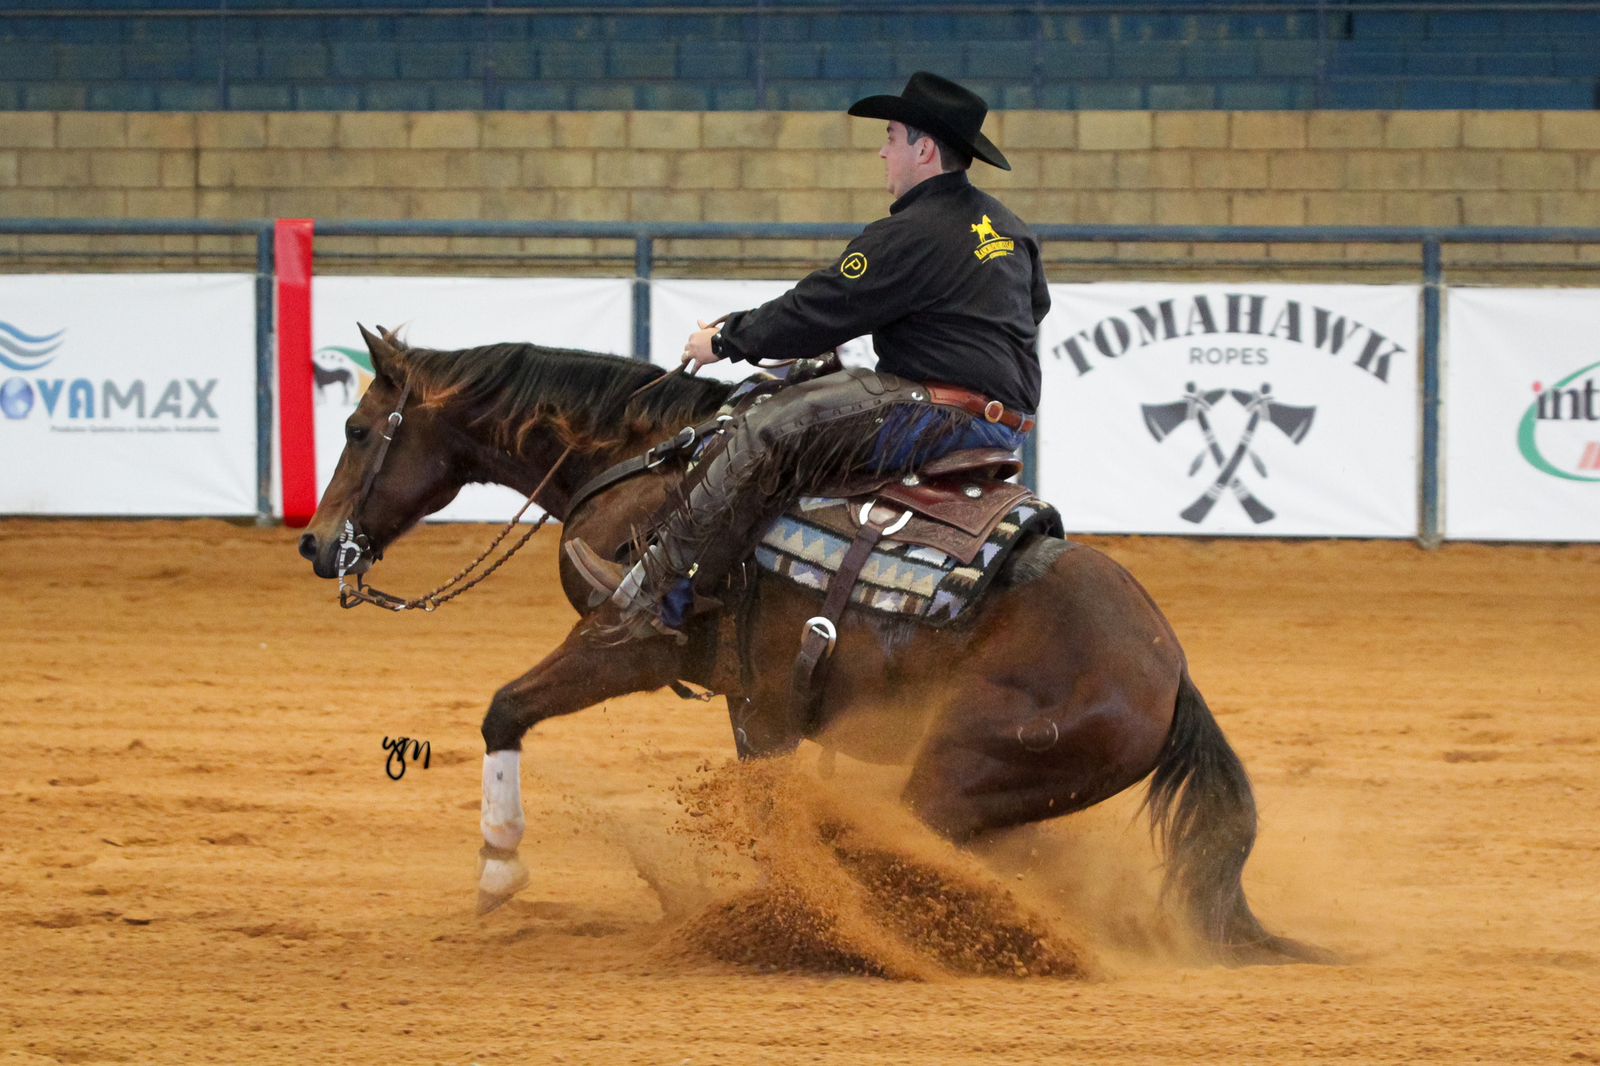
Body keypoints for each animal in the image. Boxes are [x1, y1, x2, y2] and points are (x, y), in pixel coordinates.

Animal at [297, 326, 1324, 960]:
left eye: (356, 425)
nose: (316, 543)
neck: (645, 465)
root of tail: (1170, 675)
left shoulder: (626, 645)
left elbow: (505, 709)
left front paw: (499, 870)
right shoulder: (762, 700)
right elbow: (768, 806)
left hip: (954, 774)